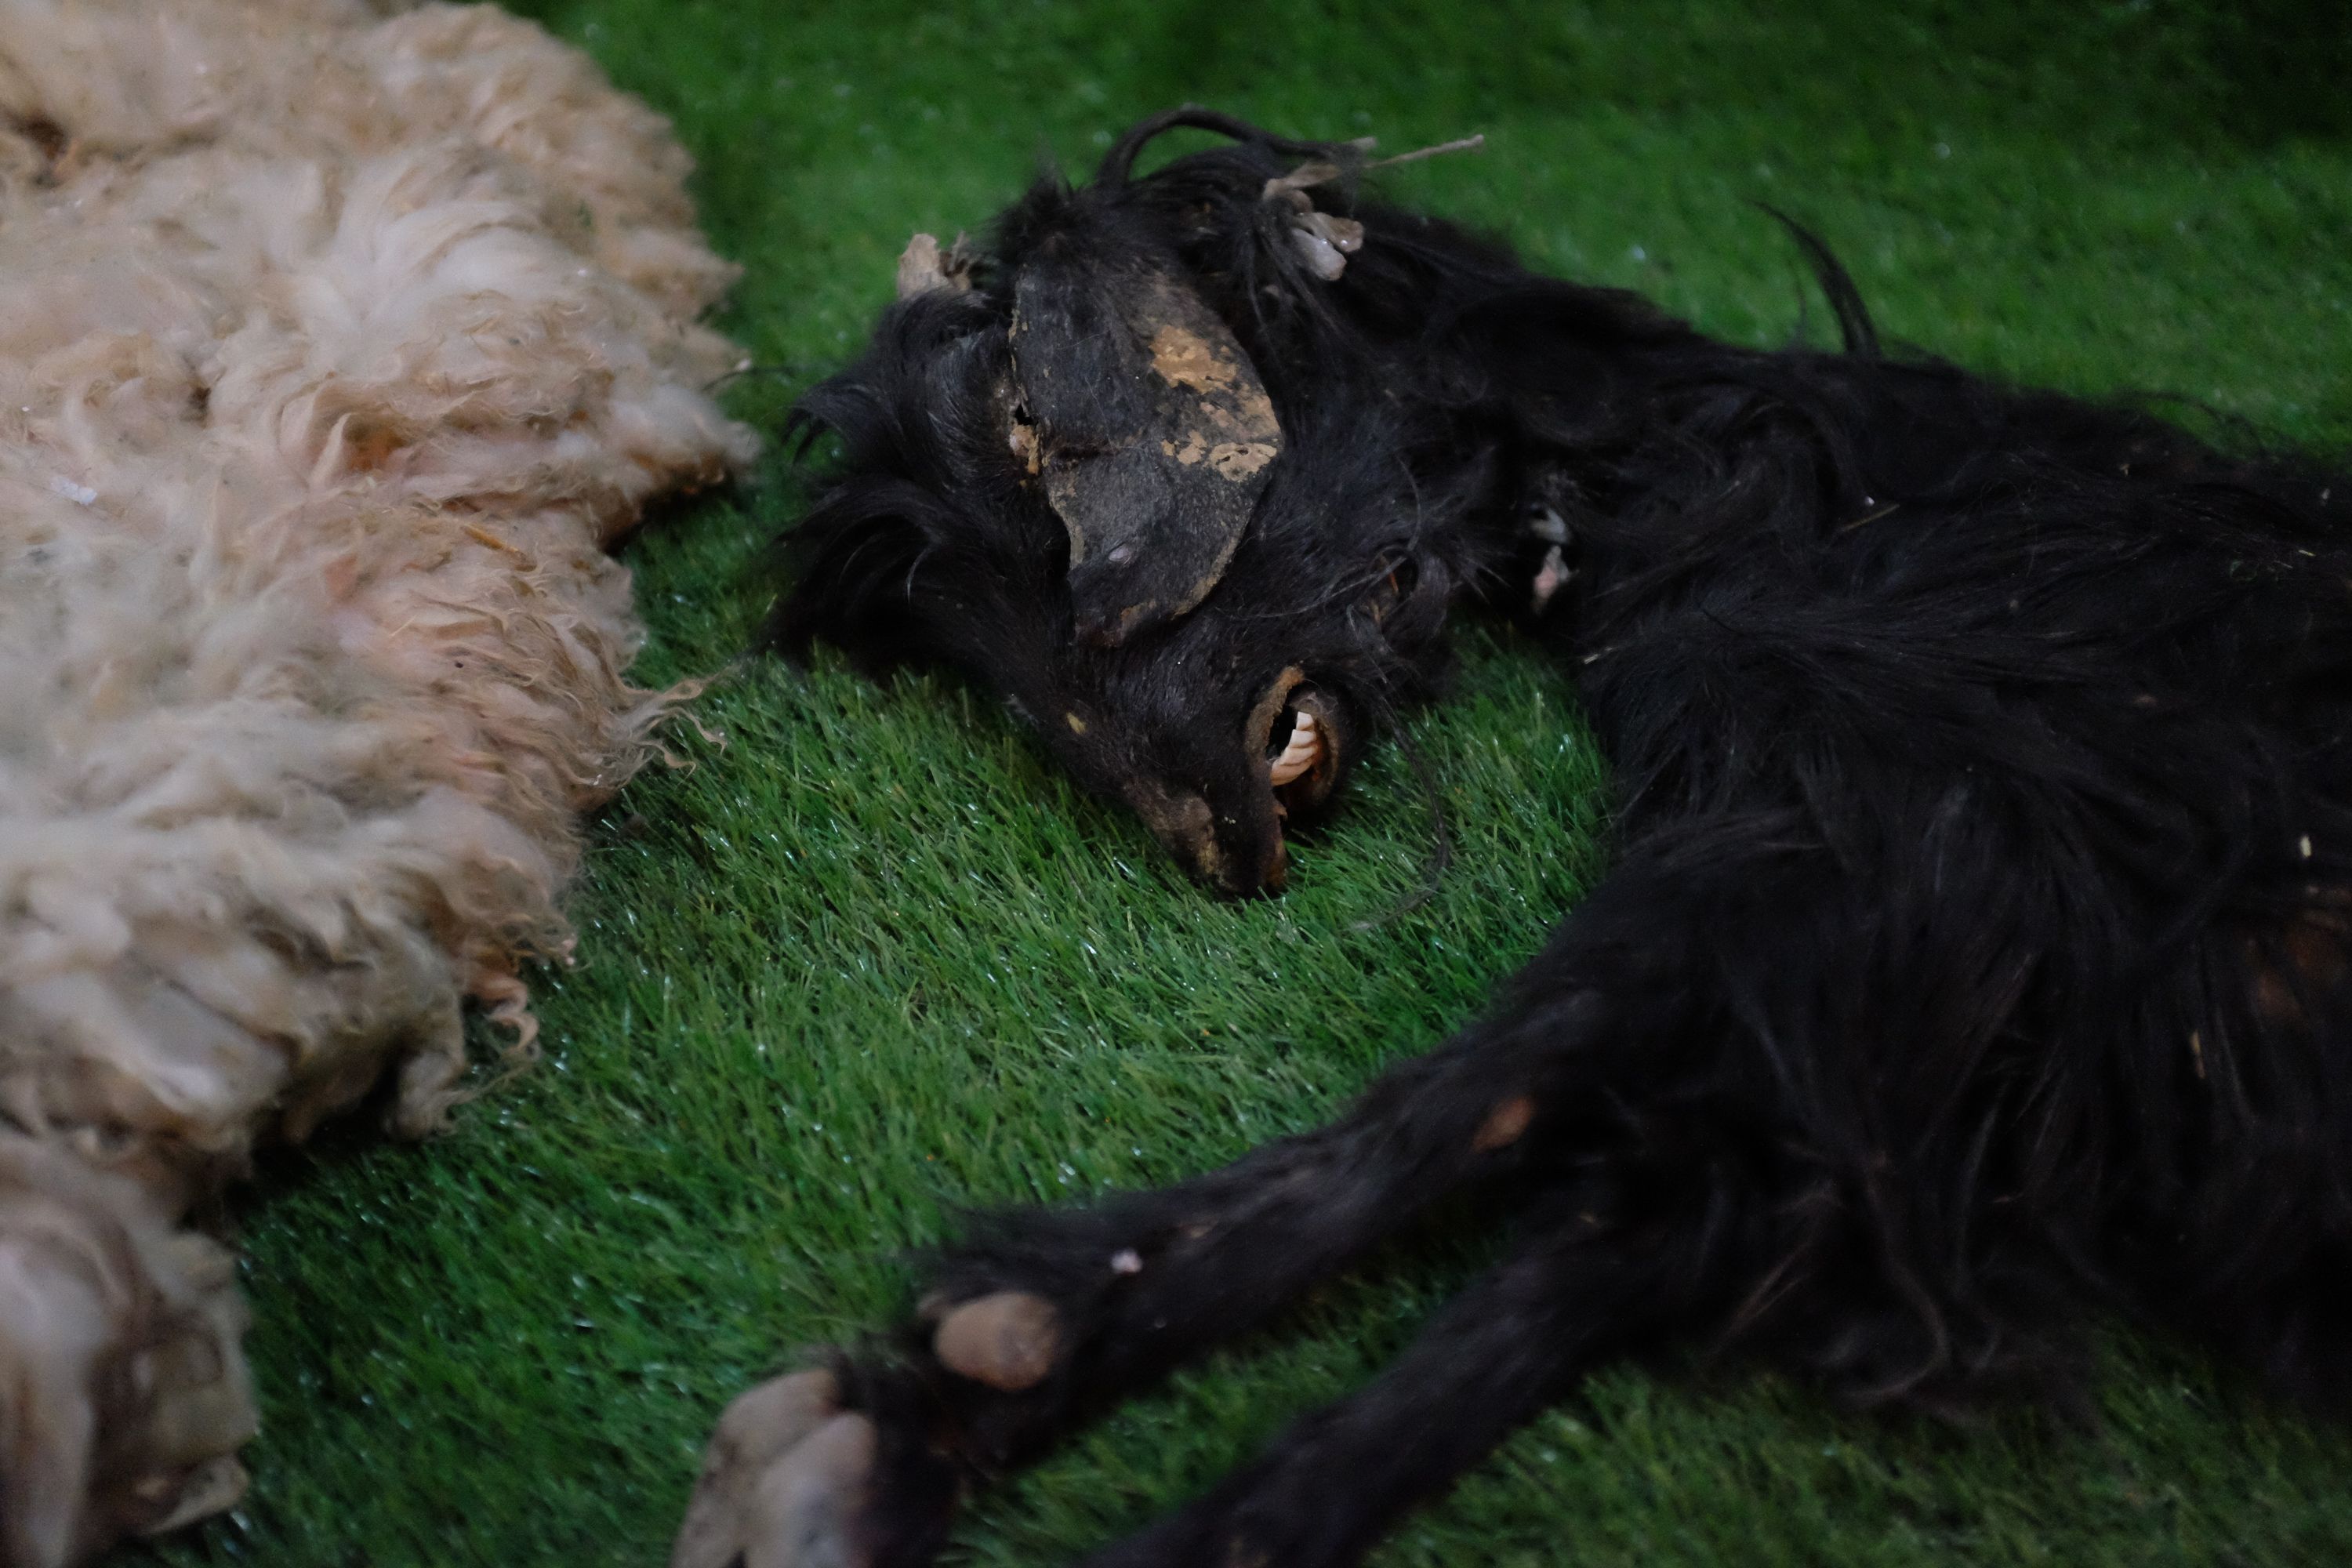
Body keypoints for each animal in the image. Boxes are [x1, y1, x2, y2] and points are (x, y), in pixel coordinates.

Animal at [677, 110, 2352, 1568]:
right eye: (956, 645)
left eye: (1036, 437)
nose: (1210, 836)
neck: (1767, 485)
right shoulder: (1876, 1004)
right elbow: (1605, 1212)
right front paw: (940, 1428)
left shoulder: (1909, 858)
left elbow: (1484, 1088)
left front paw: (1025, 1380)